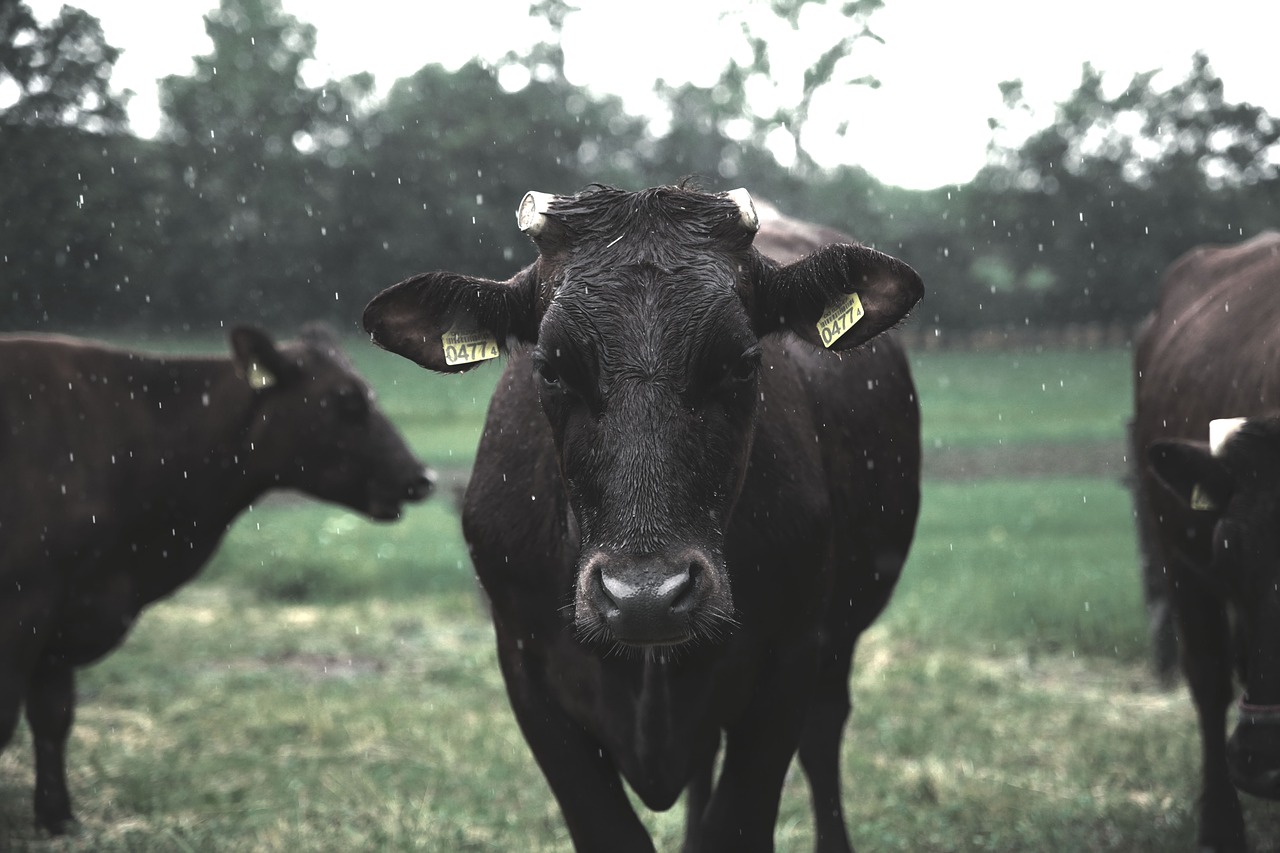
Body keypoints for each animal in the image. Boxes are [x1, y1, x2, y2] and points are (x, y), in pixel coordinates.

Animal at [0, 324, 435, 829]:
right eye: (343, 400)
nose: (422, 477)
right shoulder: (26, 598)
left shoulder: (67, 610)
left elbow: (53, 715)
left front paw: (57, 818)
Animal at [360, 185, 921, 850]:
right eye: (550, 367)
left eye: (743, 362)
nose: (646, 597)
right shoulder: (526, 669)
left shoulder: (791, 659)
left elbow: (736, 824)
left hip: (842, 633)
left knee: (822, 735)